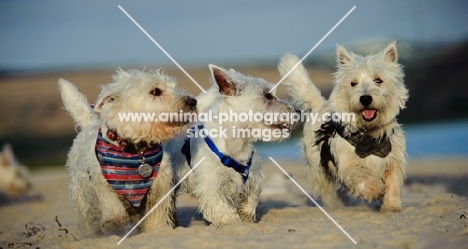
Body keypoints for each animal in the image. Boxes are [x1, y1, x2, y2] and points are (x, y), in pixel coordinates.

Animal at [58, 69, 197, 236]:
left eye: (174, 86)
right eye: (155, 91)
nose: (193, 101)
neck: (136, 150)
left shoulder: (160, 189)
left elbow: (156, 220)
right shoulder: (103, 183)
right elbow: (113, 207)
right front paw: (113, 222)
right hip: (84, 202)